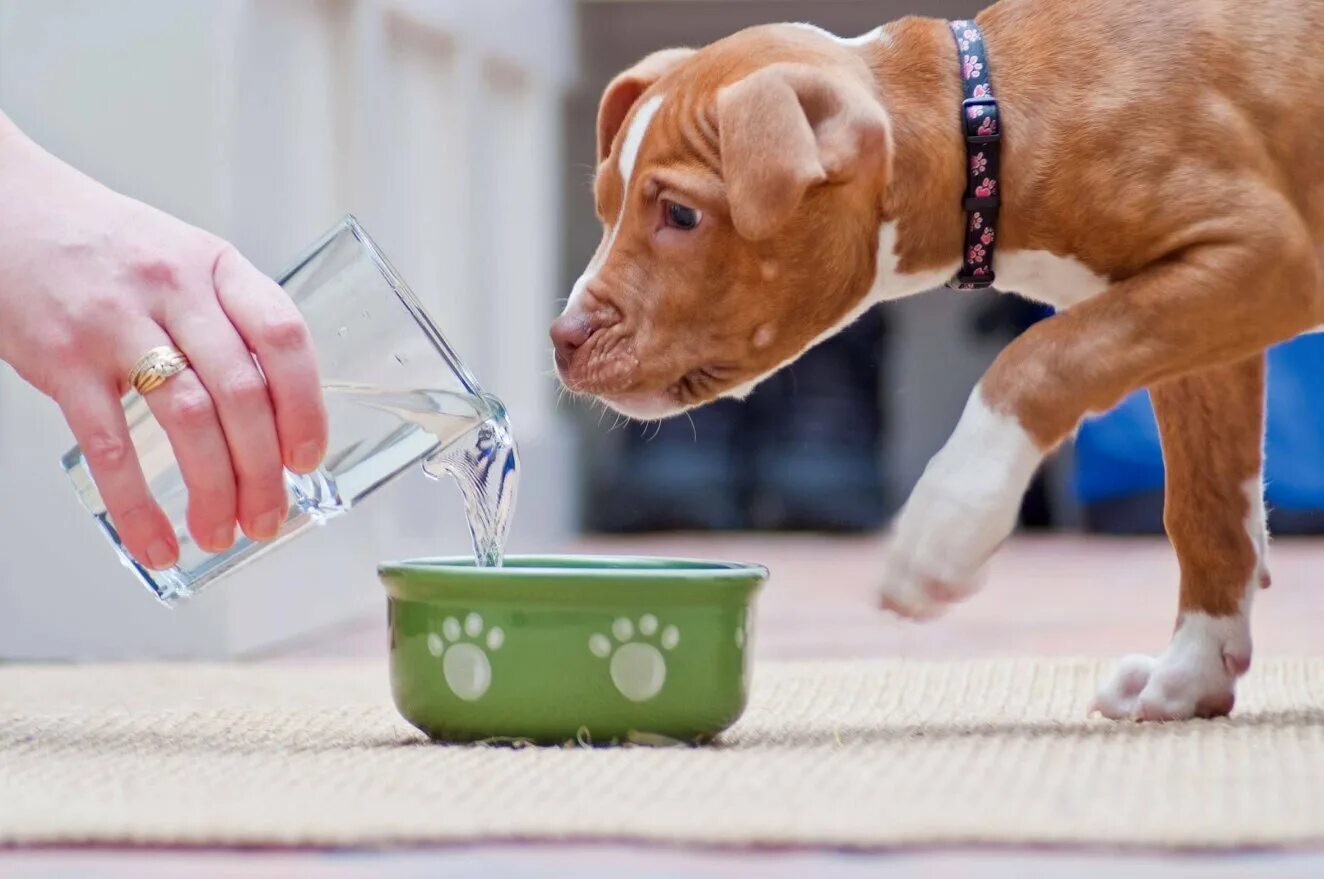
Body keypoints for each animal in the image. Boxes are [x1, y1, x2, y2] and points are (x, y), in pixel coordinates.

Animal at [548, 0, 1324, 720]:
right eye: (605, 205)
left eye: (681, 215)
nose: (563, 336)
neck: (990, 119)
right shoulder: (1205, 329)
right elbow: (1205, 507)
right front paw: (1192, 671)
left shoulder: (1258, 257)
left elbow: (1037, 356)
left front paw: (947, 525)